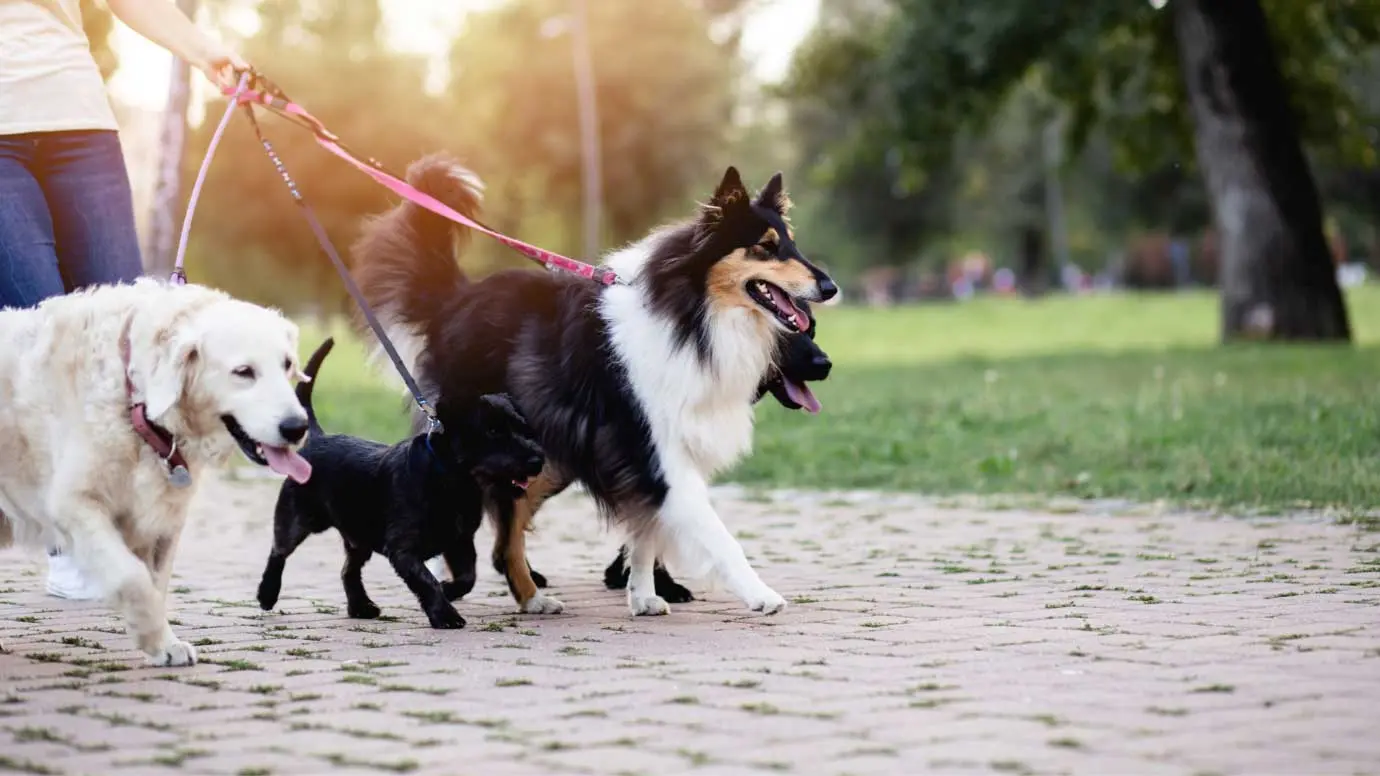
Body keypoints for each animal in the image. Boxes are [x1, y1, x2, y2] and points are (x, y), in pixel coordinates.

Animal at [0, 278, 313, 665]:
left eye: (287, 365)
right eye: (244, 372)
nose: (297, 427)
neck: (137, 405)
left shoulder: (164, 520)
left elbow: (156, 583)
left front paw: (164, 642)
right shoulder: (73, 504)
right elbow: (132, 578)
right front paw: (150, 635)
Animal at [258, 335, 543, 624]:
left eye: (522, 428)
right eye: (493, 431)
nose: (537, 460)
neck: (450, 480)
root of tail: (316, 437)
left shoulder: (460, 541)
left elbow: (467, 578)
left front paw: (448, 591)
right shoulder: (404, 548)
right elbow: (426, 580)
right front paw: (445, 614)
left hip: (359, 536)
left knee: (349, 569)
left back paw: (361, 607)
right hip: (297, 519)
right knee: (278, 552)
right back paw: (267, 594)